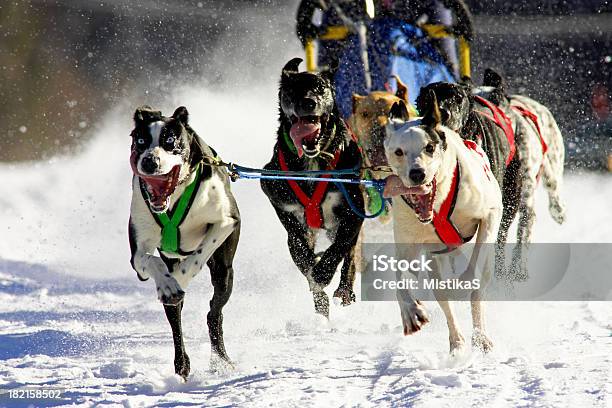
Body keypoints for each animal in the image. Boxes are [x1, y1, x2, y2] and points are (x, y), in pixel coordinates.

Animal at [128, 106, 239, 380]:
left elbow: (199, 254)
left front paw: (183, 274)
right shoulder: (138, 256)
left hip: (225, 274)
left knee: (213, 313)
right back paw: (182, 363)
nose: (149, 161)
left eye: (170, 141)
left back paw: (221, 361)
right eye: (141, 141)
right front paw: (169, 283)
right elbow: (151, 262)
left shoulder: (227, 221)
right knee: (175, 318)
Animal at [382, 93, 502, 354]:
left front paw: (463, 281)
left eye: (429, 147)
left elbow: (474, 270)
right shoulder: (407, 245)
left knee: (478, 291)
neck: (437, 206)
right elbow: (398, 276)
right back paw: (456, 340)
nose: (417, 173)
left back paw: (481, 336)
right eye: (399, 152)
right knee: (442, 296)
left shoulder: (490, 214)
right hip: (434, 260)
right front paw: (410, 311)